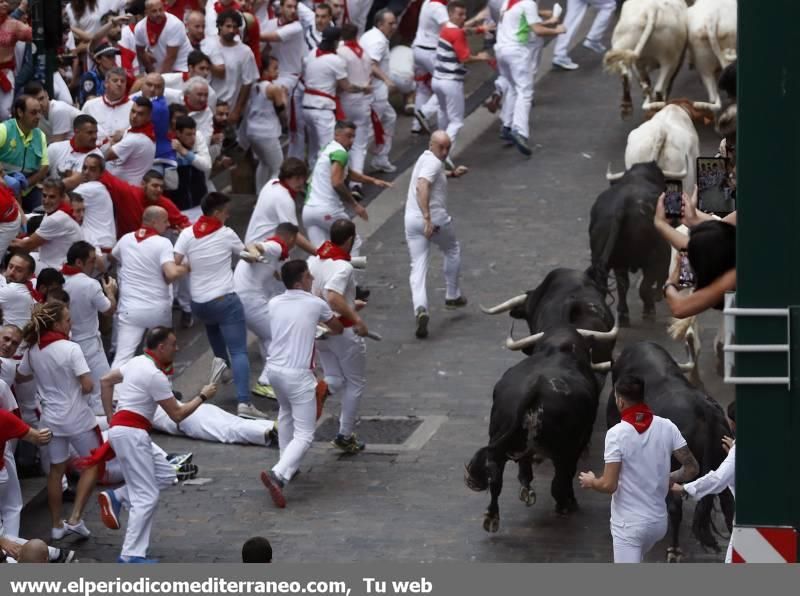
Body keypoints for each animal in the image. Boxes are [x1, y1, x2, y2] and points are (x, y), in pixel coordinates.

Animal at [462, 328, 608, 532]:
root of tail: (535, 388)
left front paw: (526, 489)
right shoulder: (579, 442)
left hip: (500, 441)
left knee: (496, 478)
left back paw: (492, 517)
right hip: (564, 450)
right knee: (559, 482)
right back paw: (565, 505)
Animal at [592, 162, 672, 326]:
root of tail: (622, 206)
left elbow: (623, 284)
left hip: (603, 259)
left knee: (613, 286)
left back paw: (621, 315)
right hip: (654, 256)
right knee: (644, 286)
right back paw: (649, 310)